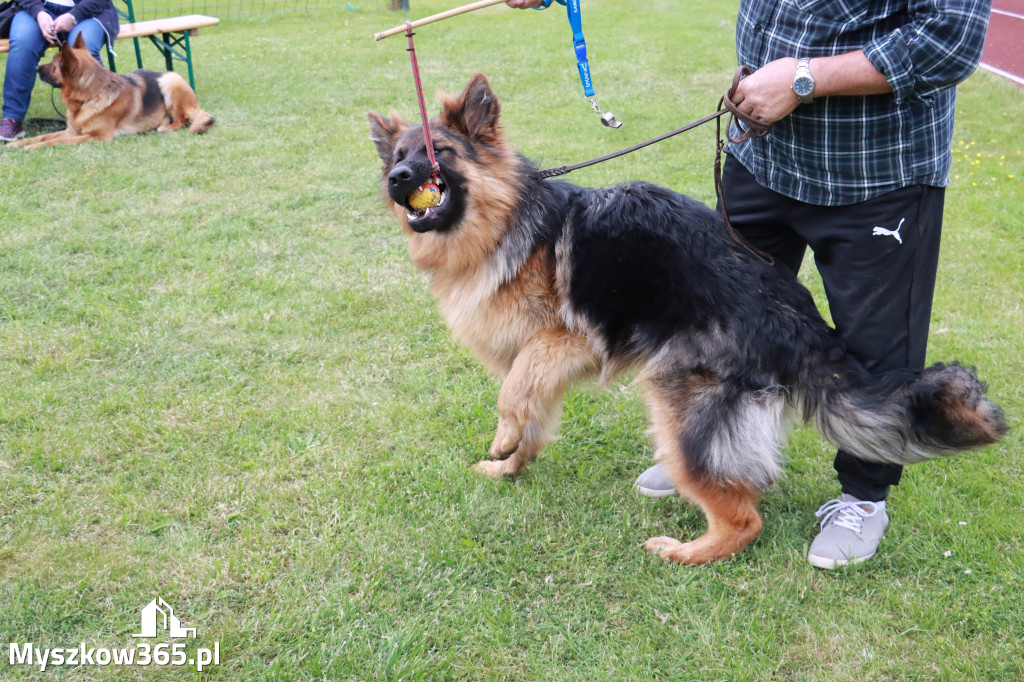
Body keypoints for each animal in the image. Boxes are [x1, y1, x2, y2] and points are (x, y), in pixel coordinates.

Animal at [10, 33, 214, 150]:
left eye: (53, 64)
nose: (35, 68)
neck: (90, 97)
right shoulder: (71, 131)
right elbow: (43, 135)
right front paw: (17, 143)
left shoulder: (96, 136)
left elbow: (55, 141)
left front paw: (32, 147)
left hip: (170, 80)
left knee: (183, 119)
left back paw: (167, 127)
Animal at [368, 73, 1007, 561]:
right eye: (398, 158)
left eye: (437, 155)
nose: (397, 180)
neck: (506, 225)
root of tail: (798, 319)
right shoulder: (542, 366)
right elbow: (533, 417)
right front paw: (510, 466)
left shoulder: (563, 343)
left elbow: (512, 395)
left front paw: (502, 440)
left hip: (679, 398)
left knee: (745, 520)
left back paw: (686, 552)